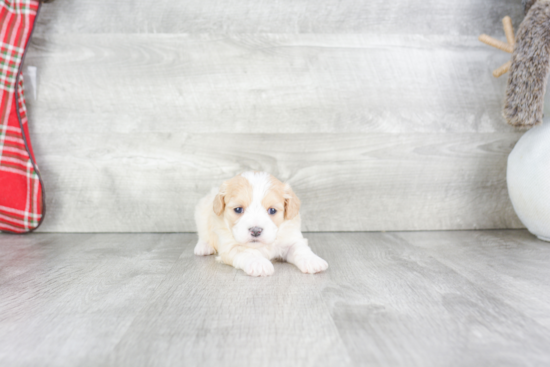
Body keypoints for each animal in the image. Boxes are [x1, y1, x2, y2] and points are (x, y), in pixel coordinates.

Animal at [196, 171, 330, 278]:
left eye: (272, 210)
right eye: (238, 209)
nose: (256, 231)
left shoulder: (291, 238)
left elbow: (300, 248)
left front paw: (312, 260)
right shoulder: (230, 247)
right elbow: (247, 252)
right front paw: (259, 263)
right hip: (201, 212)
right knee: (203, 233)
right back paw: (203, 247)